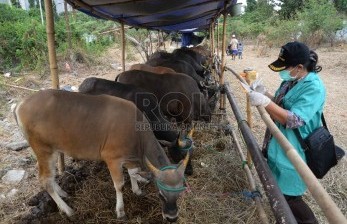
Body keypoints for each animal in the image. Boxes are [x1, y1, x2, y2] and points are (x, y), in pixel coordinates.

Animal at [12, 89, 190, 222]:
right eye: (160, 194)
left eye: (179, 193)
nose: (172, 217)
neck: (136, 135)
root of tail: (21, 104)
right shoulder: (112, 159)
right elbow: (119, 185)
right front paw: (120, 211)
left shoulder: (130, 157)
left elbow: (133, 172)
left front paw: (137, 189)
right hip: (44, 150)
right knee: (45, 179)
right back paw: (68, 210)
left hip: (51, 150)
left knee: (48, 175)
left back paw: (63, 192)